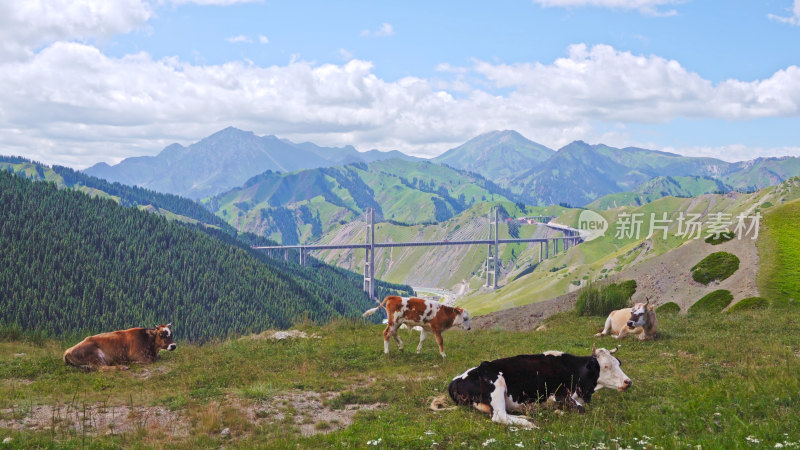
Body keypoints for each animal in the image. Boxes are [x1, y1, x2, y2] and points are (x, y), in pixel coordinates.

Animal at [450, 346, 632, 428]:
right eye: (606, 366)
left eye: (618, 364)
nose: (628, 381)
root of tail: (455, 380)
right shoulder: (558, 395)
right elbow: (581, 409)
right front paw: (558, 411)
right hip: (497, 382)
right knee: (500, 416)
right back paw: (530, 422)